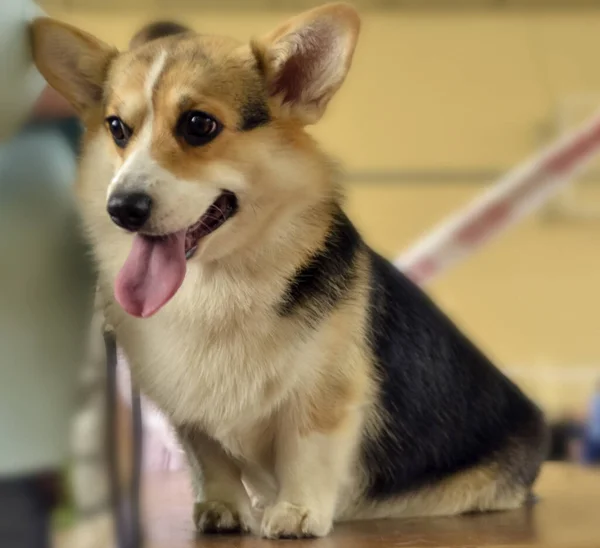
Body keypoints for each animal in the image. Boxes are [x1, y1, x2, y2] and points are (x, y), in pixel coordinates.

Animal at [31, 4, 548, 540]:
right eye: (117, 128)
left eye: (198, 125)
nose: (122, 208)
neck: (217, 284)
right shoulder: (190, 411)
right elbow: (211, 459)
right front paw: (222, 508)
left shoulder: (324, 394)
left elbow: (306, 451)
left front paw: (297, 513)